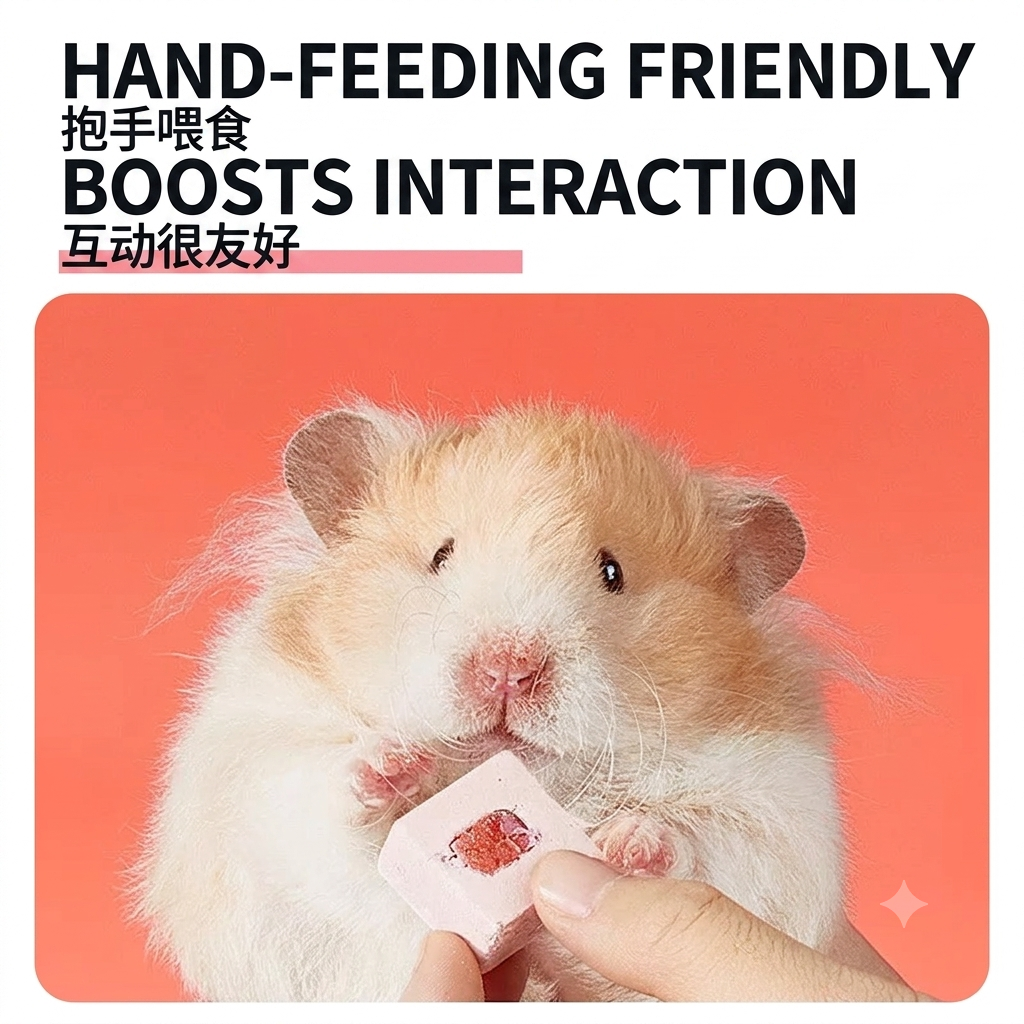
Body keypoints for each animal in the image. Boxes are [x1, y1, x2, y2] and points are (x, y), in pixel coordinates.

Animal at [133, 399, 849, 1001]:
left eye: (612, 572)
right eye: (440, 555)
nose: (508, 669)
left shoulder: (781, 822)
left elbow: (711, 843)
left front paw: (631, 842)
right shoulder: (251, 767)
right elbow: (320, 808)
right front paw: (392, 765)